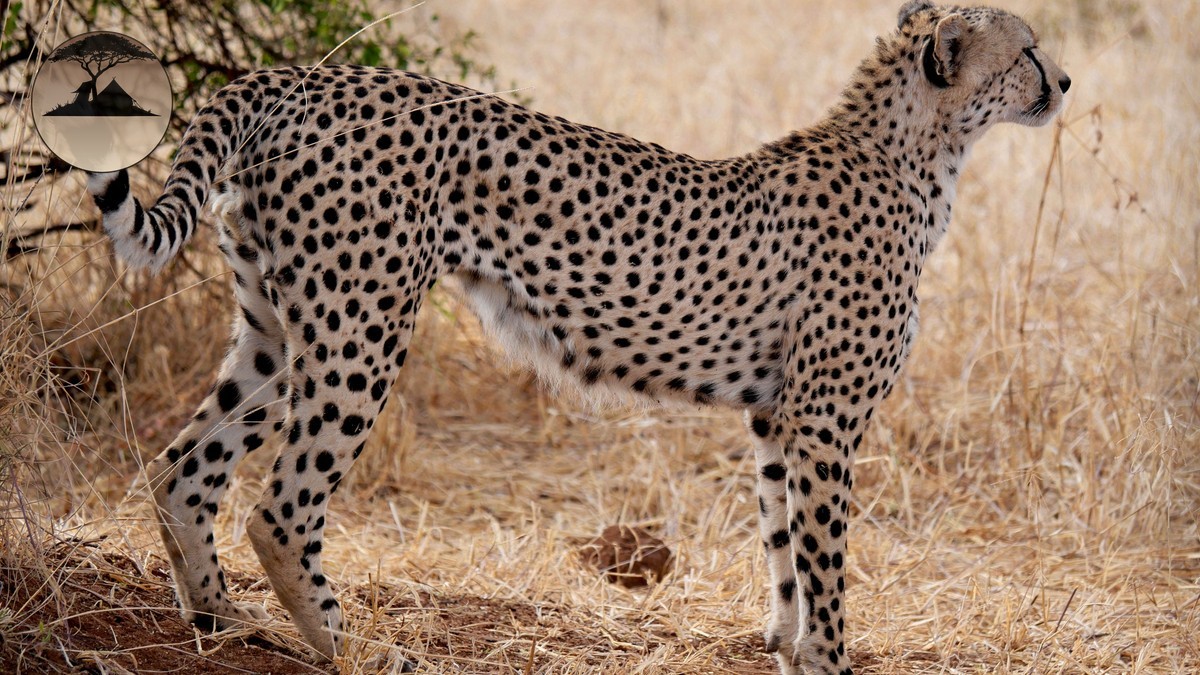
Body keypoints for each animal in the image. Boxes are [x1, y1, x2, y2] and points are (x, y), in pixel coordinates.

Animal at [85, 2, 1069, 673]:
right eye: (1026, 49)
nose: (1064, 83)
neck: (915, 154)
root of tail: (300, 76)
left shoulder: (776, 416)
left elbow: (783, 547)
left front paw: (786, 646)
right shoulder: (825, 420)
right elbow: (823, 559)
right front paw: (827, 657)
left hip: (276, 329)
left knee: (182, 464)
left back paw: (221, 622)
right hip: (360, 330)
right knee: (282, 508)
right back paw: (352, 648)